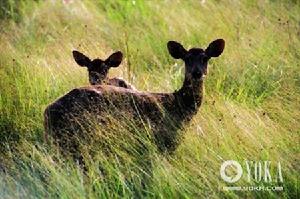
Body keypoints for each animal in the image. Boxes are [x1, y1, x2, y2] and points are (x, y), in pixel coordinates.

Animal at [44, 38, 225, 154]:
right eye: (186, 59)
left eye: (205, 58)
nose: (197, 73)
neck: (180, 105)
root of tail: (47, 111)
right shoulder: (166, 140)